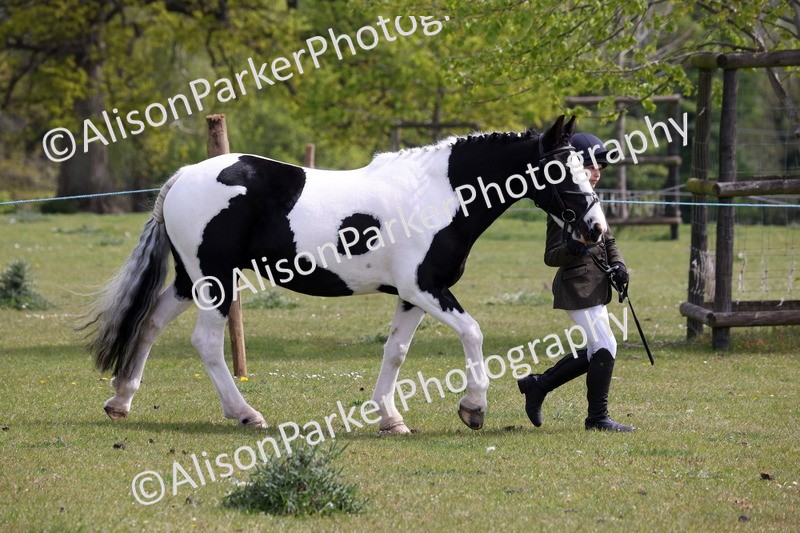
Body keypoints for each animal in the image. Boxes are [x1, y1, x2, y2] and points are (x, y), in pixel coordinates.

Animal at [83, 115, 607, 434]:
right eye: (559, 171)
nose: (596, 229)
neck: (441, 194)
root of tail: (184, 176)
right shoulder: (427, 288)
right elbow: (473, 332)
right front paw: (473, 408)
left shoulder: (412, 295)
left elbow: (396, 352)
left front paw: (390, 418)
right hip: (215, 281)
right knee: (207, 343)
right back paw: (245, 413)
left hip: (190, 280)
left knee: (150, 322)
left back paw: (121, 401)